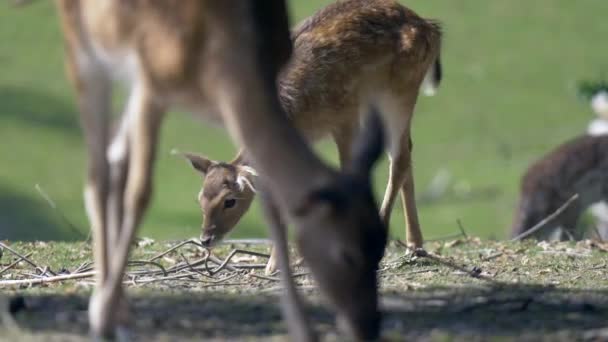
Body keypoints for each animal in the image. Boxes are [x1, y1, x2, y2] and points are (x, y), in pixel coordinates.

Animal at [55, 0, 390, 340]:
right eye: (347, 254)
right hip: (87, 53)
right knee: (99, 174)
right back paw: (107, 312)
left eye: (380, 246)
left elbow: (271, 205)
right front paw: (103, 315)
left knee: (116, 162)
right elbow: (141, 193)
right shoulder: (151, 84)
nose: (367, 324)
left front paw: (301, 326)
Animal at [176, 0, 442, 276]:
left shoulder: (345, 115)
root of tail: (431, 28)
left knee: (399, 160)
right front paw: (276, 265)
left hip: (399, 90)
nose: (206, 239)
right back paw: (415, 246)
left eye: (230, 201)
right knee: (405, 152)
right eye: (201, 198)